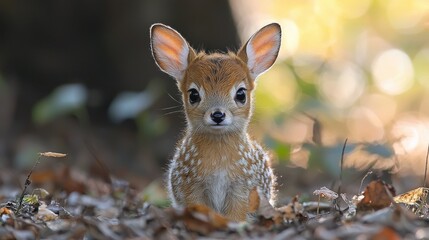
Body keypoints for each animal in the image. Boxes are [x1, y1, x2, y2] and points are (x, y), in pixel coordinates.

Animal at [150, 23, 280, 221]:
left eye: (241, 94)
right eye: (193, 94)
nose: (218, 115)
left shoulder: (243, 187)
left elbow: (237, 214)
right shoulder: (190, 186)